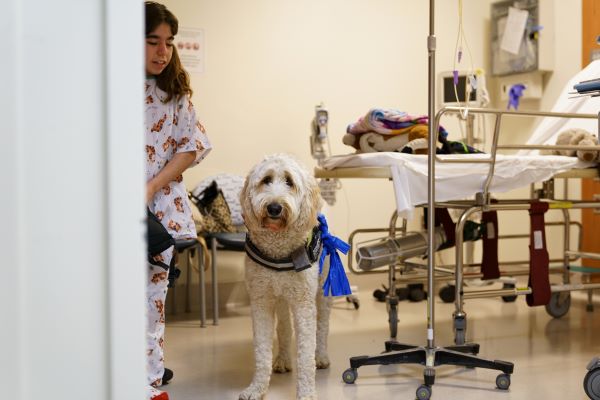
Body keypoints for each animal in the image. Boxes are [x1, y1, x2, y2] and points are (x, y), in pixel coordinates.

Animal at [239, 154, 332, 400]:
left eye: (289, 182)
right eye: (266, 180)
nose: (274, 207)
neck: (278, 250)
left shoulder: (304, 304)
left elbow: (306, 355)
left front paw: (307, 393)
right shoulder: (261, 301)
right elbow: (262, 352)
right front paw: (256, 388)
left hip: (323, 290)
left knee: (323, 326)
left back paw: (321, 356)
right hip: (280, 297)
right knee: (283, 328)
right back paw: (282, 359)